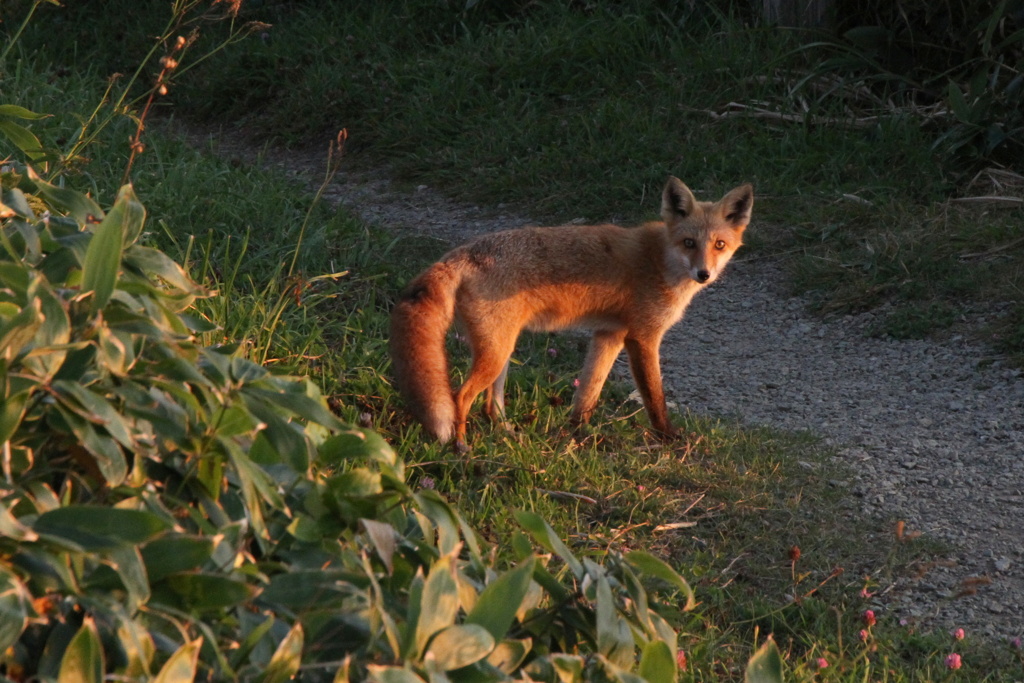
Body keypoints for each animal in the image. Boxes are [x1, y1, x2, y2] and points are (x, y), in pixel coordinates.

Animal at [389, 176, 753, 446]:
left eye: (719, 245)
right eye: (689, 243)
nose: (704, 274)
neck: (660, 261)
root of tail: (459, 254)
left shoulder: (609, 334)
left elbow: (589, 392)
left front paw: (578, 432)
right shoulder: (642, 337)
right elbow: (654, 397)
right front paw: (669, 438)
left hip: (502, 350)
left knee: (491, 405)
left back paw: (507, 434)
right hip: (496, 352)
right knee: (459, 397)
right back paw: (461, 447)